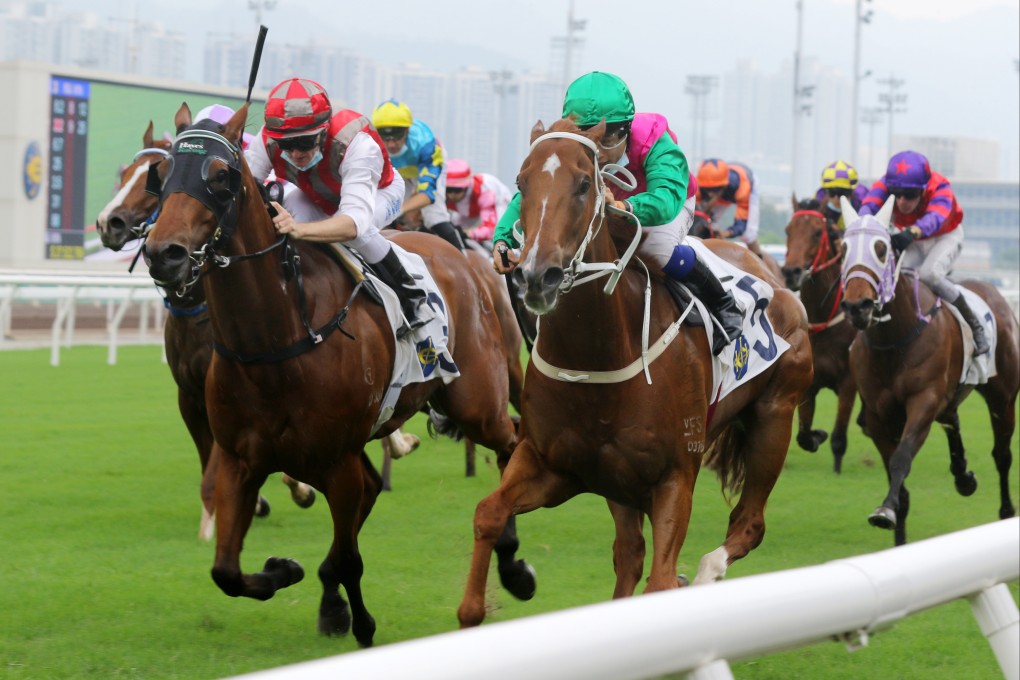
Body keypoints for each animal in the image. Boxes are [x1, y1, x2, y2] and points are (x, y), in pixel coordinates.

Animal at [141, 103, 534, 648]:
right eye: (160, 175)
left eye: (219, 176)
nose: (165, 253)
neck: (272, 345)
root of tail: (463, 262)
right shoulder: (241, 459)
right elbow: (226, 571)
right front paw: (285, 571)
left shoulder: (335, 461)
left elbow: (350, 558)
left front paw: (361, 622)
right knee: (377, 485)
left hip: (476, 402)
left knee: (510, 441)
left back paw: (514, 564)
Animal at [454, 118, 811, 628]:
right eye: (521, 183)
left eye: (584, 184)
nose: (537, 275)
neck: (597, 358)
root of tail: (778, 281)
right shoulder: (554, 465)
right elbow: (488, 512)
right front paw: (480, 603)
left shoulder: (675, 477)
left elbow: (662, 580)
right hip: (620, 484)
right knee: (629, 555)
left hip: (774, 418)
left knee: (749, 524)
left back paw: (706, 573)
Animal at [779, 197, 860, 473]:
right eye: (788, 230)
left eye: (817, 233)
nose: (791, 272)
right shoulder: (809, 383)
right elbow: (803, 435)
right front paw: (816, 436)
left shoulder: (848, 383)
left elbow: (839, 437)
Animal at [840, 197, 1015, 546]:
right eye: (843, 248)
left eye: (881, 248)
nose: (857, 306)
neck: (895, 339)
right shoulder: (878, 414)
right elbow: (901, 486)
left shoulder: (923, 400)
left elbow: (902, 457)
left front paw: (884, 511)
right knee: (953, 420)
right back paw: (963, 476)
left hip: (1002, 398)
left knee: (1002, 455)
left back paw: (1005, 512)